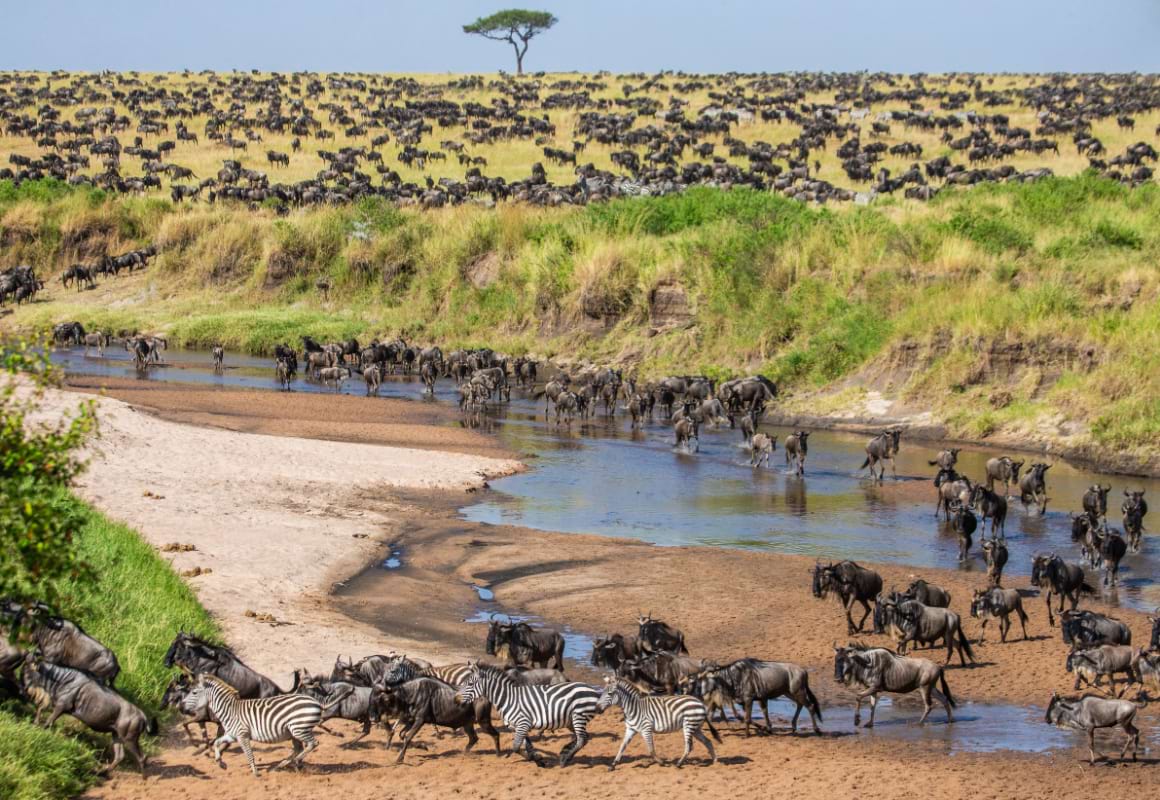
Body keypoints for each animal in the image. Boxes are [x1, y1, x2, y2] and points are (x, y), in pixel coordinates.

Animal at [182, 667, 331, 774]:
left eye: (194, 692)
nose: (181, 706)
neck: (229, 709)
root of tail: (316, 703)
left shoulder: (242, 735)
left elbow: (249, 754)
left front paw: (255, 773)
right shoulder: (232, 735)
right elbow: (217, 743)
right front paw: (221, 763)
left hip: (298, 729)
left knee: (312, 744)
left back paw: (294, 761)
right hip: (294, 732)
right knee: (299, 748)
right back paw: (282, 765)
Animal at [450, 658, 598, 765]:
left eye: (469, 684)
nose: (455, 699)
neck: (508, 699)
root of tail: (591, 689)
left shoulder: (523, 723)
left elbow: (516, 747)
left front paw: (537, 760)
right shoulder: (518, 726)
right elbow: (527, 745)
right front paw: (536, 758)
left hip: (578, 717)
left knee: (581, 739)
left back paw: (565, 759)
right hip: (571, 721)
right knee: (584, 738)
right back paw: (566, 754)